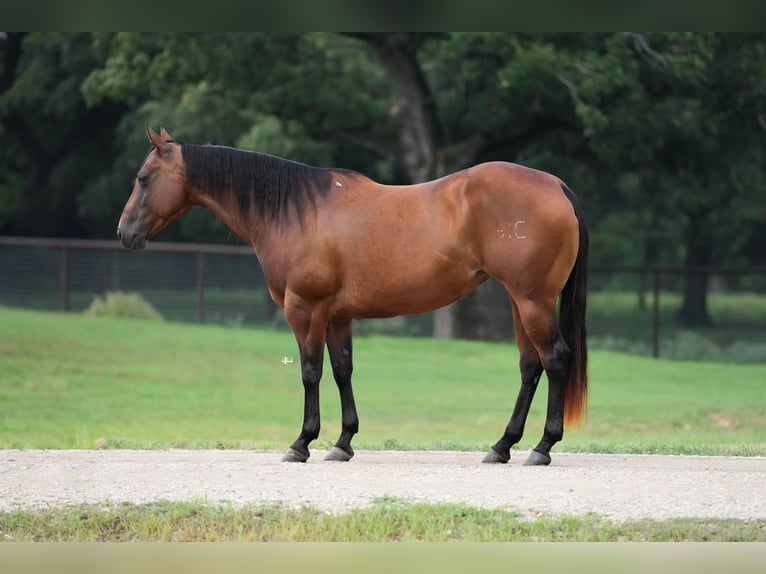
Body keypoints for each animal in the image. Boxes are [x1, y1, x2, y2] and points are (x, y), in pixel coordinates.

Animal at [118, 126, 588, 466]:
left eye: (143, 178)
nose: (124, 233)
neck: (296, 211)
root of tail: (558, 186)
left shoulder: (304, 309)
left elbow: (310, 372)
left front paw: (302, 442)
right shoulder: (337, 315)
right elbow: (342, 370)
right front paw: (342, 442)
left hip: (532, 302)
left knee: (555, 359)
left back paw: (542, 447)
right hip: (520, 302)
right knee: (530, 366)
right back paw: (502, 445)